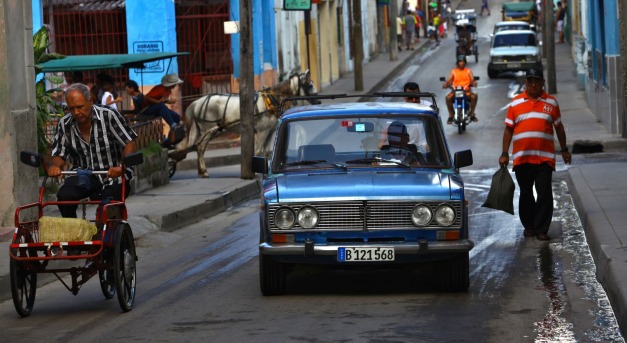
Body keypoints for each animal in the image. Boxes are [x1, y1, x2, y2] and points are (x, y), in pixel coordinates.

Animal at [172, 70, 318, 177]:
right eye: (310, 85)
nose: (318, 101)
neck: (270, 100)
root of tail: (197, 102)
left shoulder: (270, 132)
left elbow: (266, 153)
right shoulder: (262, 132)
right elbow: (259, 151)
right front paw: (258, 173)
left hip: (203, 130)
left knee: (195, 147)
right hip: (207, 130)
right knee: (200, 148)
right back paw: (204, 171)